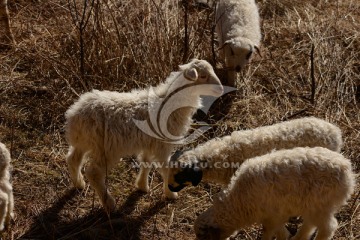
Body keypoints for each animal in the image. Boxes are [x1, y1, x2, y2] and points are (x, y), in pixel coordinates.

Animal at [64, 58, 222, 212]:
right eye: (203, 76)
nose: (220, 89)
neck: (170, 103)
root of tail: (75, 113)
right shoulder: (162, 145)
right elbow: (165, 168)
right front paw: (170, 194)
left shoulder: (150, 142)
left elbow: (146, 162)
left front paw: (142, 186)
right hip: (105, 149)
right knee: (94, 173)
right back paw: (109, 204)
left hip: (83, 141)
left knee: (73, 159)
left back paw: (79, 184)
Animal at [194, 146, 354, 240]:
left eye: (204, 237)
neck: (237, 201)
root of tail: (348, 171)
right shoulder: (273, 216)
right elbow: (279, 230)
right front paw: (286, 236)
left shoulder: (272, 215)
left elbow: (269, 232)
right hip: (314, 207)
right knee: (311, 224)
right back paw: (298, 238)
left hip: (320, 205)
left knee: (329, 227)